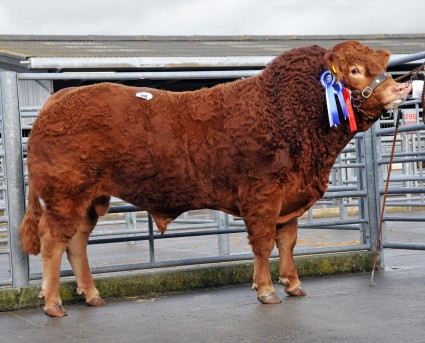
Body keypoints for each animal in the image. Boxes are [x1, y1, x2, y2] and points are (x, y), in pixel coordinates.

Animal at [19, 40, 408, 318]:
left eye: (382, 67)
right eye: (355, 69)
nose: (399, 90)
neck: (285, 114)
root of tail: (61, 96)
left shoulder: (290, 199)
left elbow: (287, 242)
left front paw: (293, 284)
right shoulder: (261, 196)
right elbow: (263, 243)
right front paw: (266, 290)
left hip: (88, 200)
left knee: (76, 242)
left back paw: (92, 295)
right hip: (65, 195)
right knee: (53, 241)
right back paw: (53, 304)